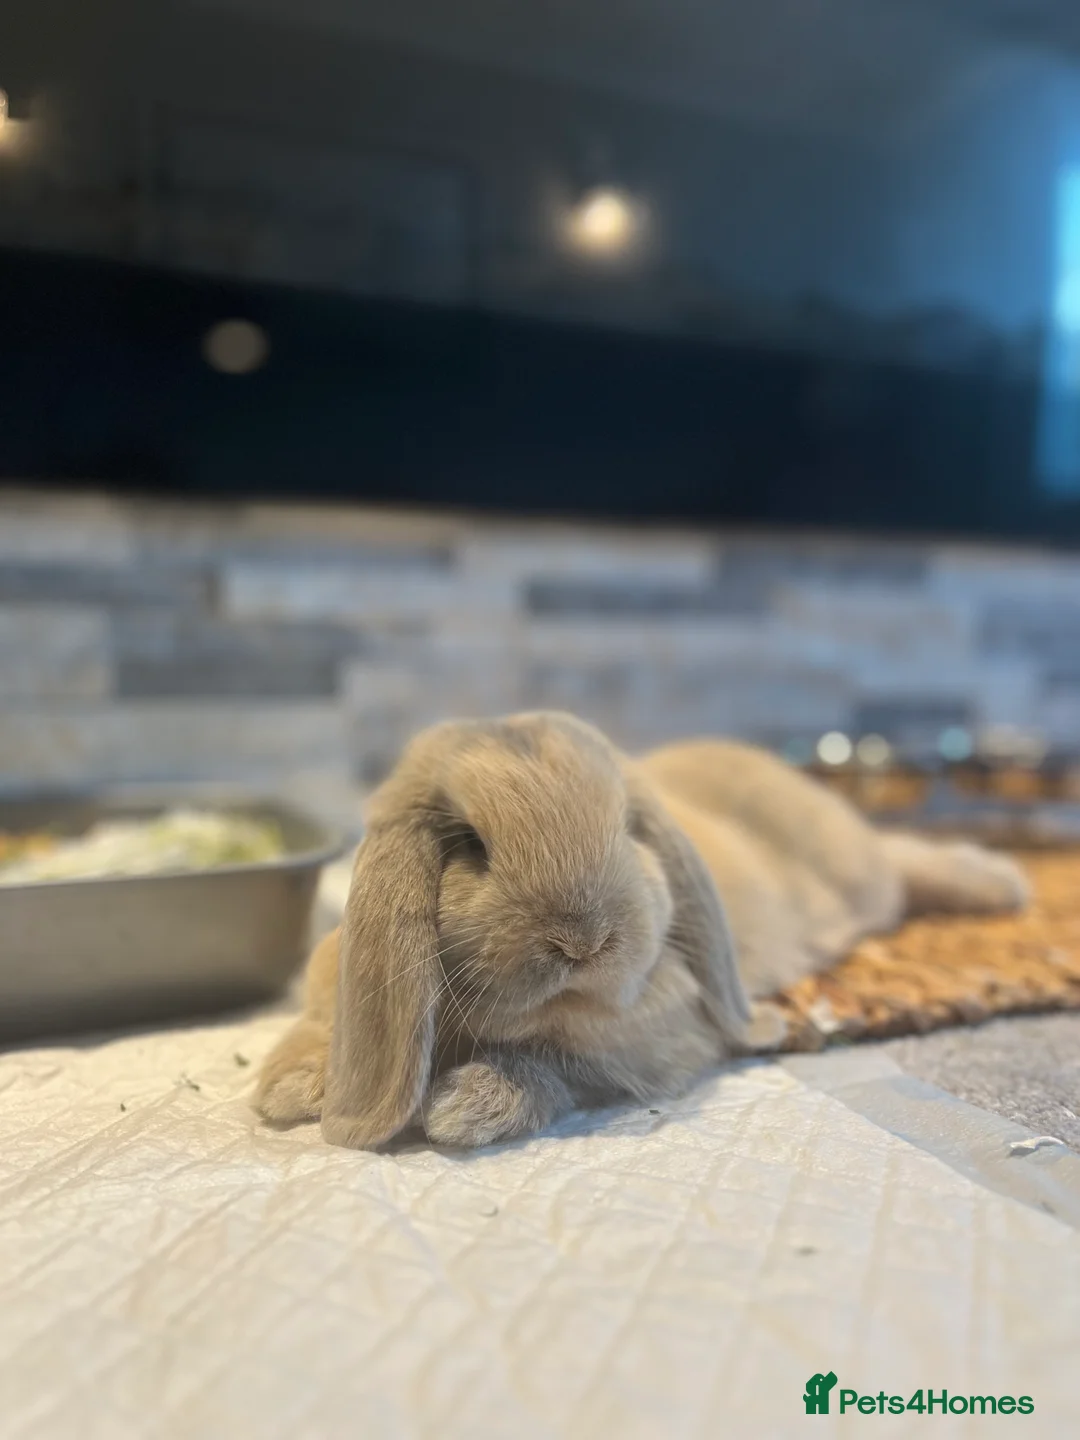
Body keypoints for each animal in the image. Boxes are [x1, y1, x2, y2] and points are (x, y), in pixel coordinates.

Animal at [254, 711, 1028, 1151]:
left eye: (627, 828)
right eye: (470, 843)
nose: (582, 942)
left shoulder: (654, 1047)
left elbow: (555, 1067)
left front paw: (466, 1108)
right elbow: (318, 1027)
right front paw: (288, 1089)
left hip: (863, 874)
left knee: (909, 860)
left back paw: (1008, 885)